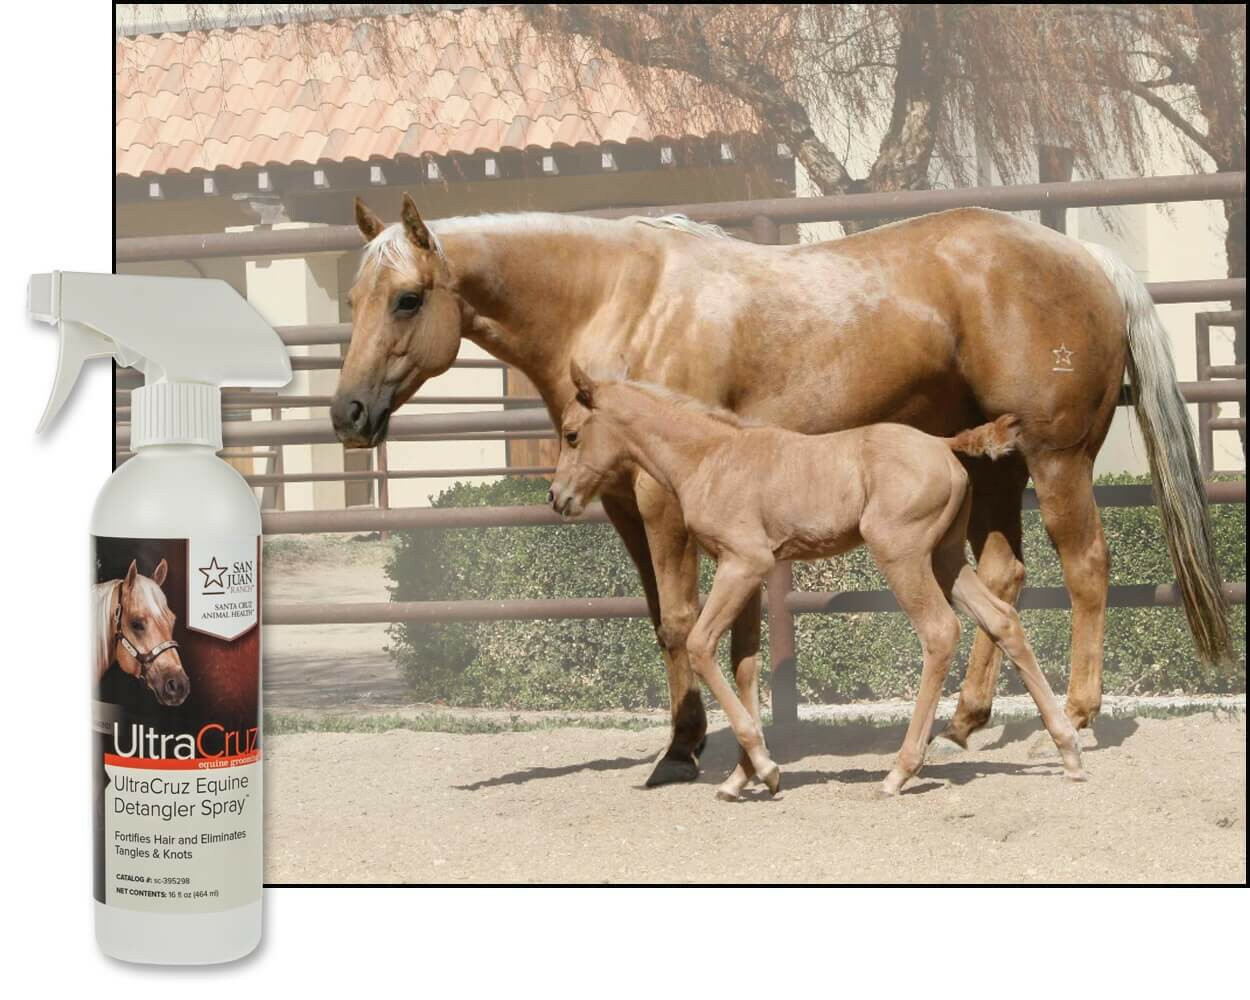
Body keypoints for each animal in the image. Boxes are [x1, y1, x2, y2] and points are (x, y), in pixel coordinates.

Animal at [549, 364, 1085, 798]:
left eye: (572, 434)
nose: (557, 497)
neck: (710, 457)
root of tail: (942, 443)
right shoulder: (747, 570)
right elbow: (745, 664)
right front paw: (742, 777)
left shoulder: (743, 563)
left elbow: (701, 646)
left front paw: (765, 769)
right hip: (946, 558)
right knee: (1003, 619)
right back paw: (1068, 751)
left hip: (903, 555)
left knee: (939, 632)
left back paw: (900, 771)